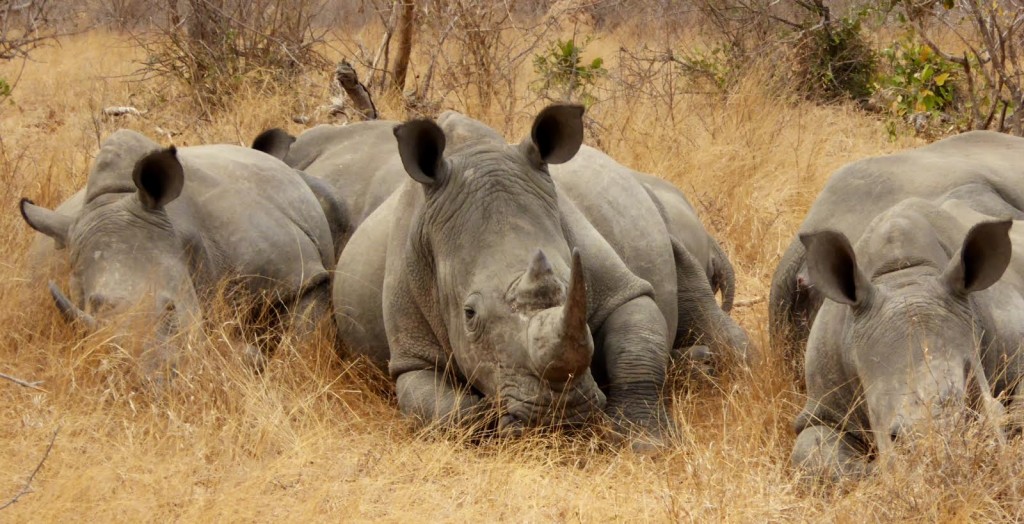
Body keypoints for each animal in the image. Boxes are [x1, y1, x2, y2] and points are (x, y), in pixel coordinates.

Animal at [321, 105, 751, 447]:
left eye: (574, 284)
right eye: (469, 315)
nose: (560, 415)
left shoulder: (622, 288)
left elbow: (636, 350)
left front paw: (647, 442)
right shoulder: (411, 354)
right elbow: (445, 411)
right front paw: (492, 419)